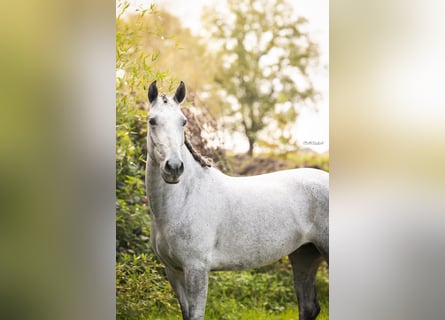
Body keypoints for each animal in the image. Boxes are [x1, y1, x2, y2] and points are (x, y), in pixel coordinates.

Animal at [144, 81, 328, 318]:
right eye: (152, 121)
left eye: (183, 121)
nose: (174, 168)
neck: (184, 200)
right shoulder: (173, 271)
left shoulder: (196, 269)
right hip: (304, 255)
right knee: (308, 307)